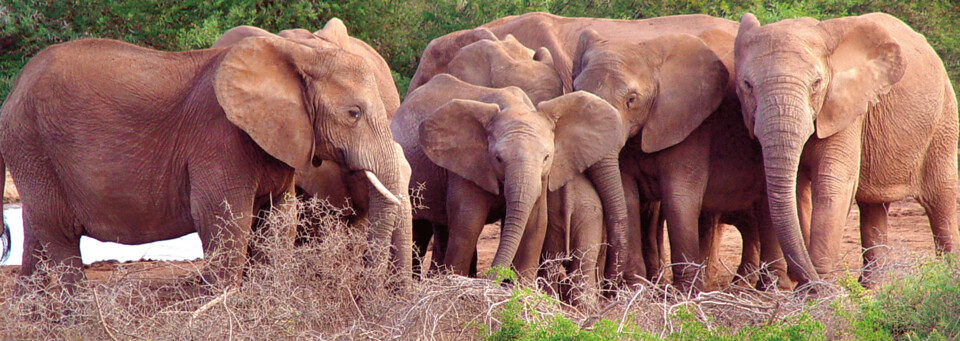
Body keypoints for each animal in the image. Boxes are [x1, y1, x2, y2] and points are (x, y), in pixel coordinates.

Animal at [390, 73, 624, 282]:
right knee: (419, 228)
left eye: (547, 157)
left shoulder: (543, 176)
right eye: (498, 158)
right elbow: (468, 225)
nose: (492, 278)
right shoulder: (466, 165)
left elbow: (535, 224)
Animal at [736, 11, 960, 286]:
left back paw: (948, 277)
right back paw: (871, 288)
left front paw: (819, 291)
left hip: (943, 118)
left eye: (816, 83)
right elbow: (797, 189)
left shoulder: (847, 109)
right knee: (873, 205)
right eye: (747, 84)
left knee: (940, 198)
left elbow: (833, 184)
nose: (806, 280)